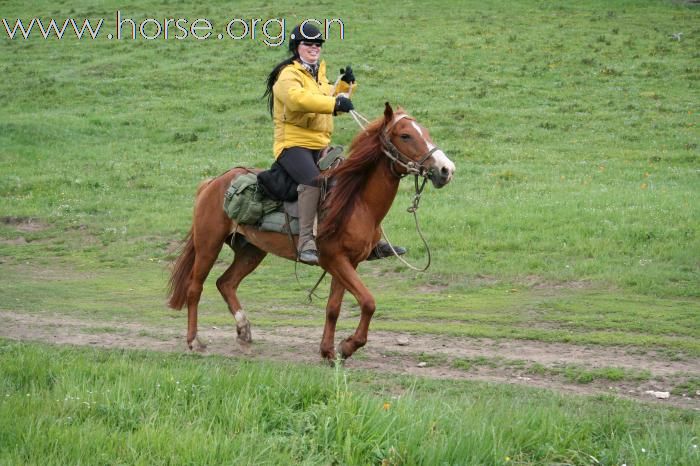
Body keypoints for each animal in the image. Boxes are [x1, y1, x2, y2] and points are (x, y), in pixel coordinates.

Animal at [168, 104, 454, 362]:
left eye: (425, 132)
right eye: (405, 135)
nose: (446, 170)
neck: (356, 201)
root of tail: (213, 182)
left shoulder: (349, 263)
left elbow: (333, 308)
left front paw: (329, 351)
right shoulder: (335, 259)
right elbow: (368, 302)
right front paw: (347, 346)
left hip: (251, 251)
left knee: (226, 283)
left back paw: (244, 334)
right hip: (209, 244)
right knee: (195, 288)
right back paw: (195, 342)